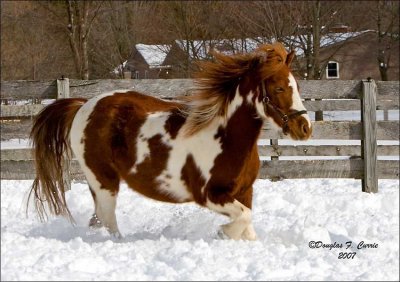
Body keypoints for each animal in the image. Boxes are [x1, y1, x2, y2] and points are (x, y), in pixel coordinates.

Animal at [29, 41, 310, 240]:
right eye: (279, 88)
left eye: (297, 86)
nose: (304, 128)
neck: (225, 138)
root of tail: (83, 105)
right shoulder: (209, 195)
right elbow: (243, 218)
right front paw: (222, 232)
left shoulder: (245, 191)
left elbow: (248, 226)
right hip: (103, 180)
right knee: (108, 220)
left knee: (97, 219)